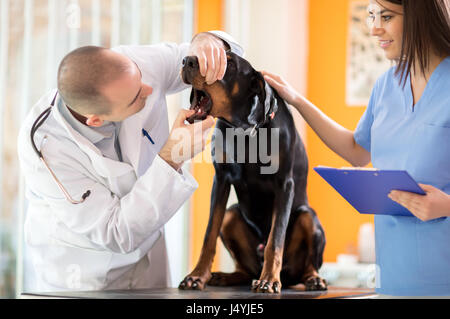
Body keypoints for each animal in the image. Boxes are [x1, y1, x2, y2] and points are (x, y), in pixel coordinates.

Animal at [178, 52, 326, 296]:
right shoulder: (221, 179)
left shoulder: (284, 184)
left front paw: (268, 280)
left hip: (308, 217)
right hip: (231, 217)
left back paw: (312, 278)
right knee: (244, 268)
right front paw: (197, 276)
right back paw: (225, 277)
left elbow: (275, 239)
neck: (245, 131)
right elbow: (209, 234)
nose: (187, 60)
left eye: (229, 63)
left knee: (308, 263)